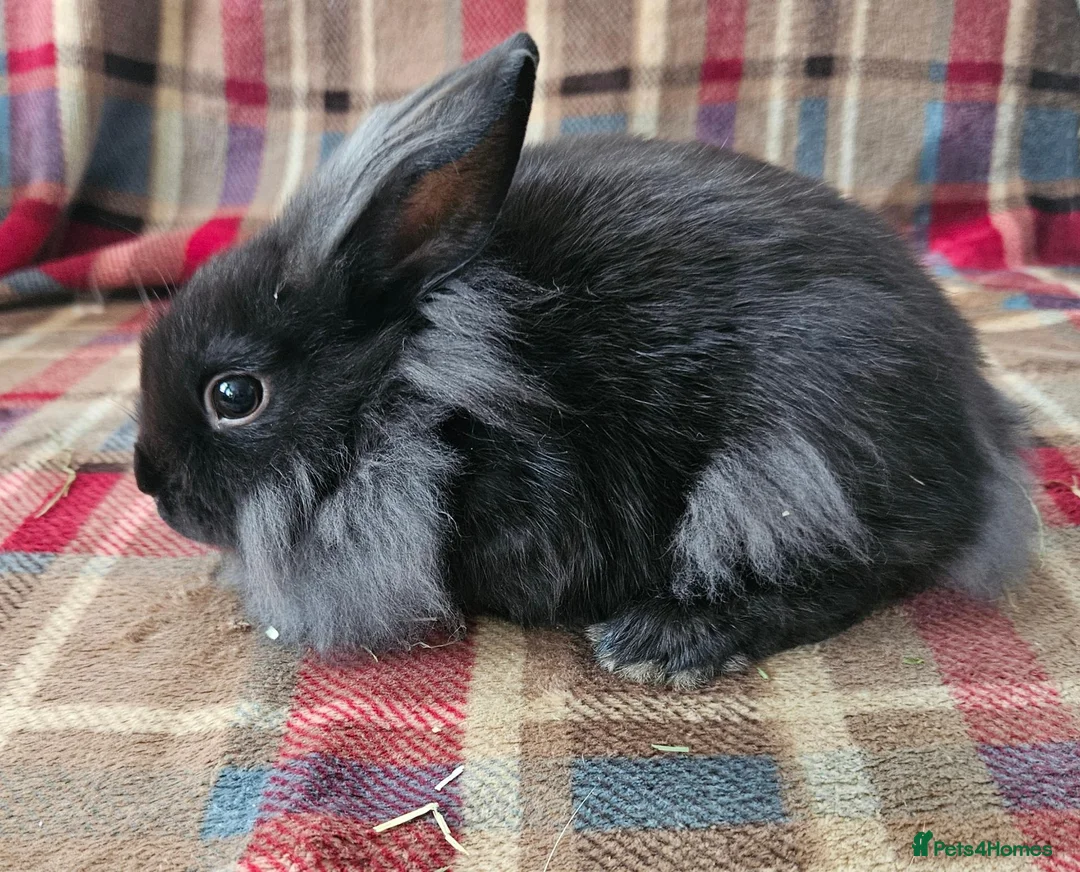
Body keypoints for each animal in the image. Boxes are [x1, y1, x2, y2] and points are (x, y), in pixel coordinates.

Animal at [135, 32, 1034, 687]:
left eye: (235, 394)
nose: (152, 487)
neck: (428, 391)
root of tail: (974, 424)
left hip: (796, 461)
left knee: (851, 574)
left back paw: (661, 644)